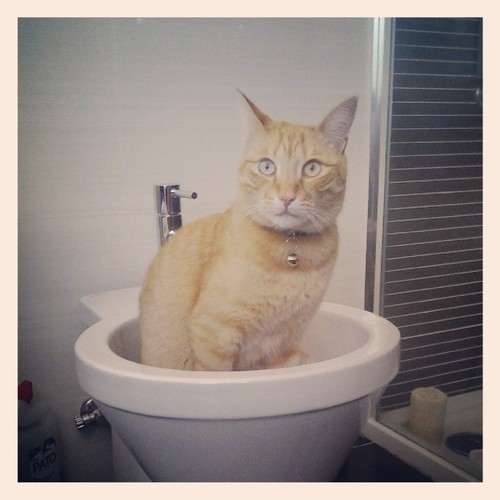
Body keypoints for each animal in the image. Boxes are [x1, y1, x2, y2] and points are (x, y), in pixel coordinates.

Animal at [139, 92, 358, 371]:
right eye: (266, 167)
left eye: (312, 168)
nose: (287, 197)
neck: (290, 256)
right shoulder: (212, 335)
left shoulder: (282, 346)